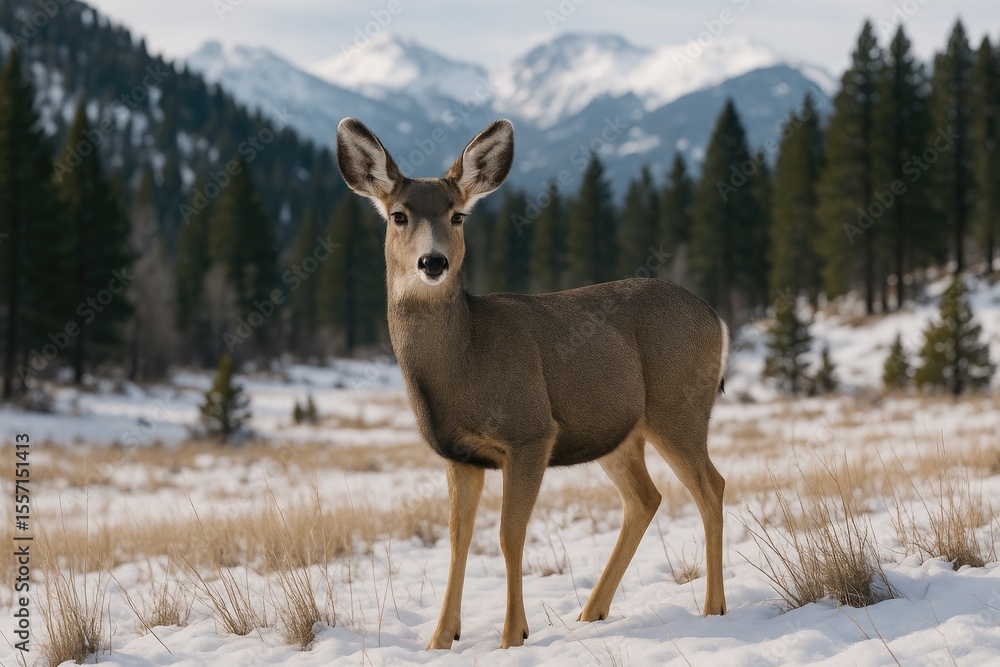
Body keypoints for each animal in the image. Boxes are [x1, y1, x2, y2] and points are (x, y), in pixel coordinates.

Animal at [336, 117, 729, 650]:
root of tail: (718, 321)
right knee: (645, 498)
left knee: (711, 487)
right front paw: (440, 638)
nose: (433, 262)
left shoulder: (530, 432)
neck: (464, 364)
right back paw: (591, 612)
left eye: (457, 215)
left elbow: (509, 534)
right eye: (399, 215)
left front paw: (512, 635)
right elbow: (459, 537)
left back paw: (713, 609)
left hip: (678, 407)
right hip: (616, 431)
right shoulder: (460, 454)